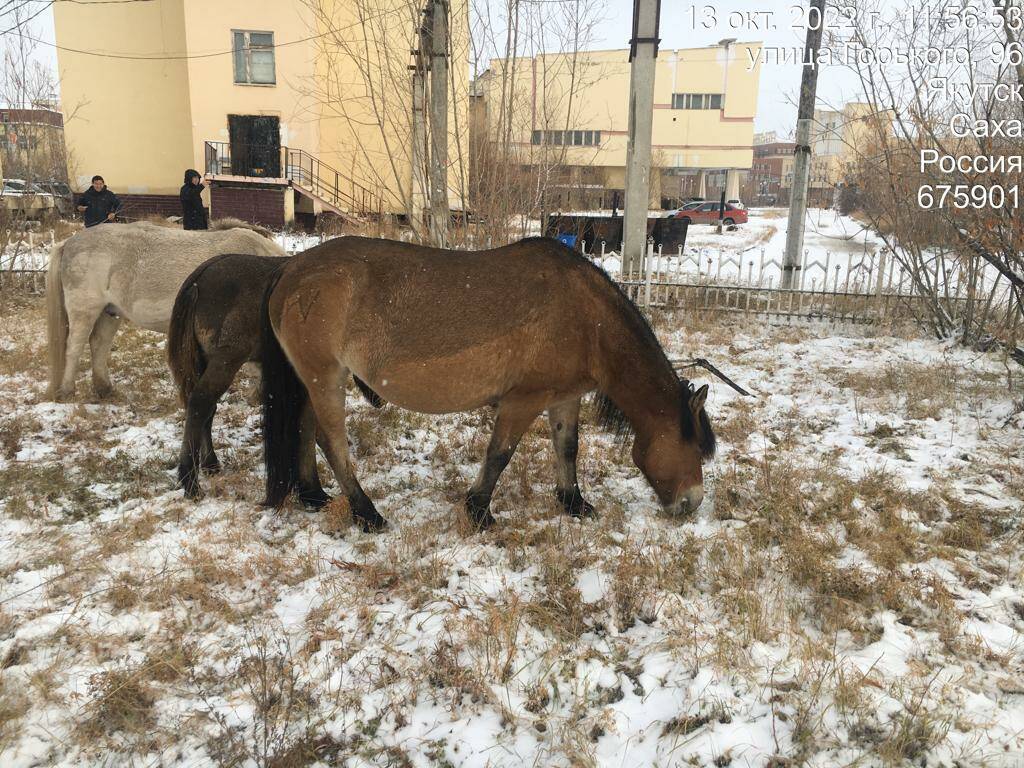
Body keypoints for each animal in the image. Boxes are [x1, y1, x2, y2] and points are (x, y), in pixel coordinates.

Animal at [48, 221, 284, 403]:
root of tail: (68, 243)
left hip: (110, 312)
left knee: (99, 344)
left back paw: (104, 389)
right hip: (85, 311)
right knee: (74, 347)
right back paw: (67, 391)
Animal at [260, 237, 716, 532]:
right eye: (695, 446)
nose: (692, 504)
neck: (588, 320)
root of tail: (290, 269)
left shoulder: (563, 399)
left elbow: (567, 448)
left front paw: (573, 502)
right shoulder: (523, 401)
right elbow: (499, 455)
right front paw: (479, 511)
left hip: (313, 380)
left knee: (305, 429)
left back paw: (313, 495)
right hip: (325, 378)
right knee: (331, 441)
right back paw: (366, 513)